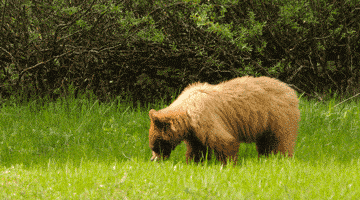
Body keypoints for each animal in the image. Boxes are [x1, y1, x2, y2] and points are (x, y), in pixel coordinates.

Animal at [148, 76, 300, 165]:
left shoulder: (205, 117)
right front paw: (194, 162)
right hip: (265, 123)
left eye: (155, 146)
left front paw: (227, 164)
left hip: (278, 116)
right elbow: (197, 148)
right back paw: (265, 158)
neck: (186, 113)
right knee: (265, 142)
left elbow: (224, 140)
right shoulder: (194, 131)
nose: (153, 159)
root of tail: (291, 91)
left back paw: (282, 158)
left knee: (280, 140)